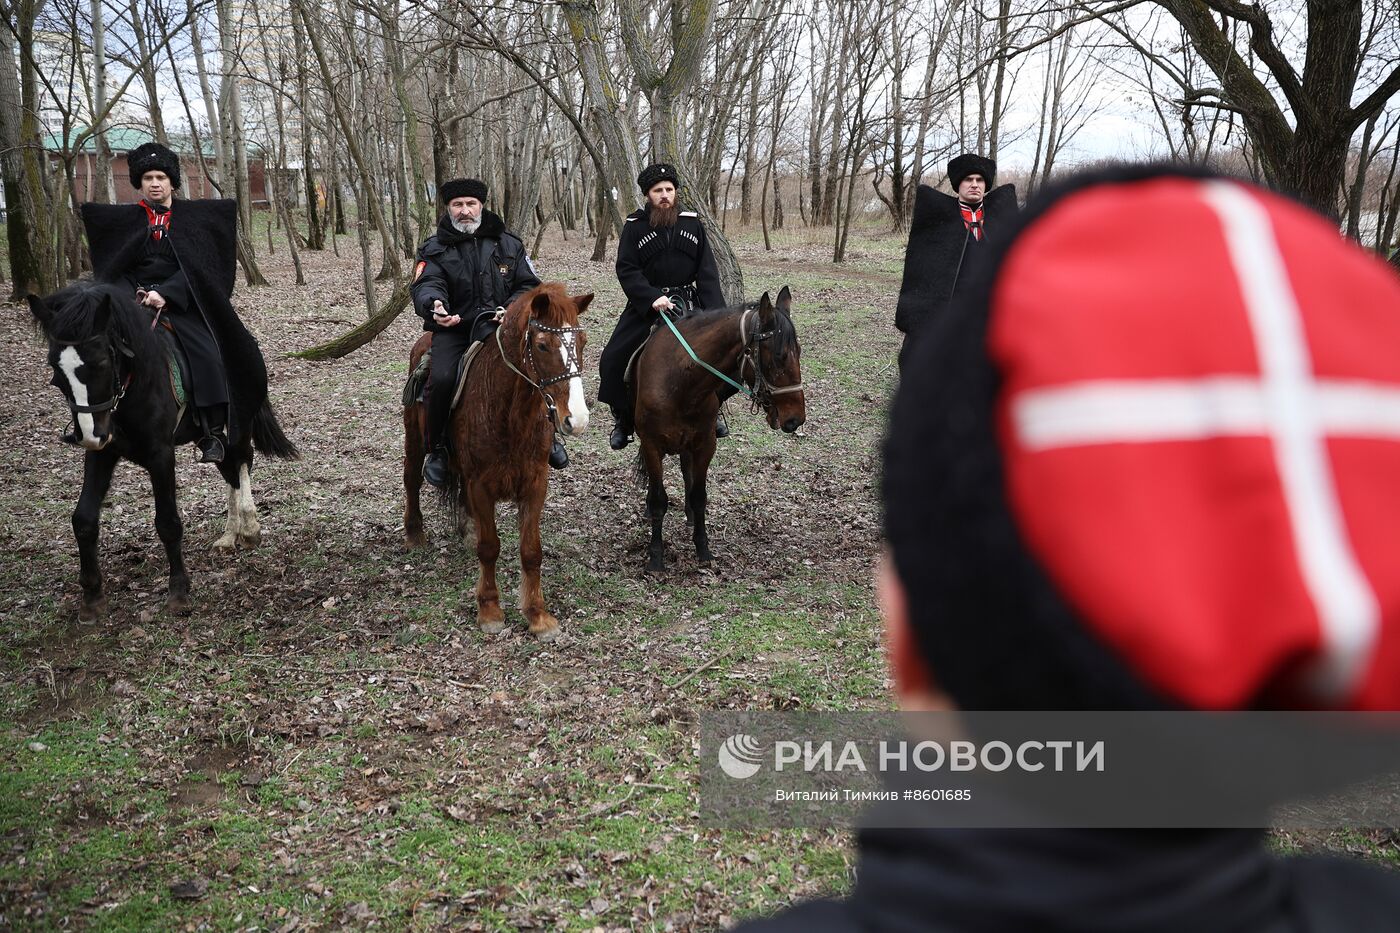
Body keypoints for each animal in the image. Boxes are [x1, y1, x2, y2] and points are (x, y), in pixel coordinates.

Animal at [27, 281, 296, 616]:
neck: (133, 385)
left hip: (239, 422)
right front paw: (91, 598)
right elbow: (84, 519)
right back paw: (229, 535)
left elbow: (167, 522)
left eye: (101, 362)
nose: (89, 434)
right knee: (229, 469)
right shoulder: (103, 453)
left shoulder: (161, 455)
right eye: (55, 369)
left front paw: (178, 591)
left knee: (241, 462)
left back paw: (248, 527)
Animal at [400, 280, 590, 636]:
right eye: (542, 345)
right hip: (414, 437)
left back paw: (467, 528)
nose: (578, 419)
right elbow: (489, 548)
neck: (508, 413)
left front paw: (538, 615)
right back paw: (414, 533)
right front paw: (489, 611)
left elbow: (531, 550)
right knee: (411, 480)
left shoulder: (535, 483)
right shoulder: (481, 484)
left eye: (582, 341)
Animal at [630, 287, 806, 571]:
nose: (796, 419)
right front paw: (655, 557)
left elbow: (699, 495)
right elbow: (658, 501)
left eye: (798, 352)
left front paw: (703, 548)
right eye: (779, 357)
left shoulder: (705, 444)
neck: (681, 382)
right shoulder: (651, 445)